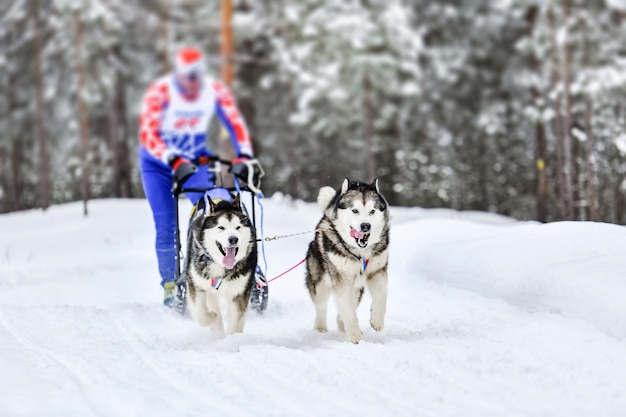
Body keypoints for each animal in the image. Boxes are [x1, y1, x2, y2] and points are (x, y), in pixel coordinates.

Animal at [183, 193, 256, 334]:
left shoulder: (239, 292)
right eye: (221, 227)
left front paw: (232, 339)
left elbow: (235, 324)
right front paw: (214, 318)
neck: (221, 266)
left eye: (238, 227)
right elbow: (201, 314)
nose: (233, 239)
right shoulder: (196, 285)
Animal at [304, 177, 388, 342]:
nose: (365, 226)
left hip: (357, 287)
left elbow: (381, 294)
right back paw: (320, 327)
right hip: (320, 283)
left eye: (372, 211)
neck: (360, 253)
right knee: (321, 306)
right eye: (355, 210)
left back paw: (341, 324)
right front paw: (354, 335)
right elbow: (348, 310)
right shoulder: (341, 279)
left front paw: (377, 319)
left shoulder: (378, 271)